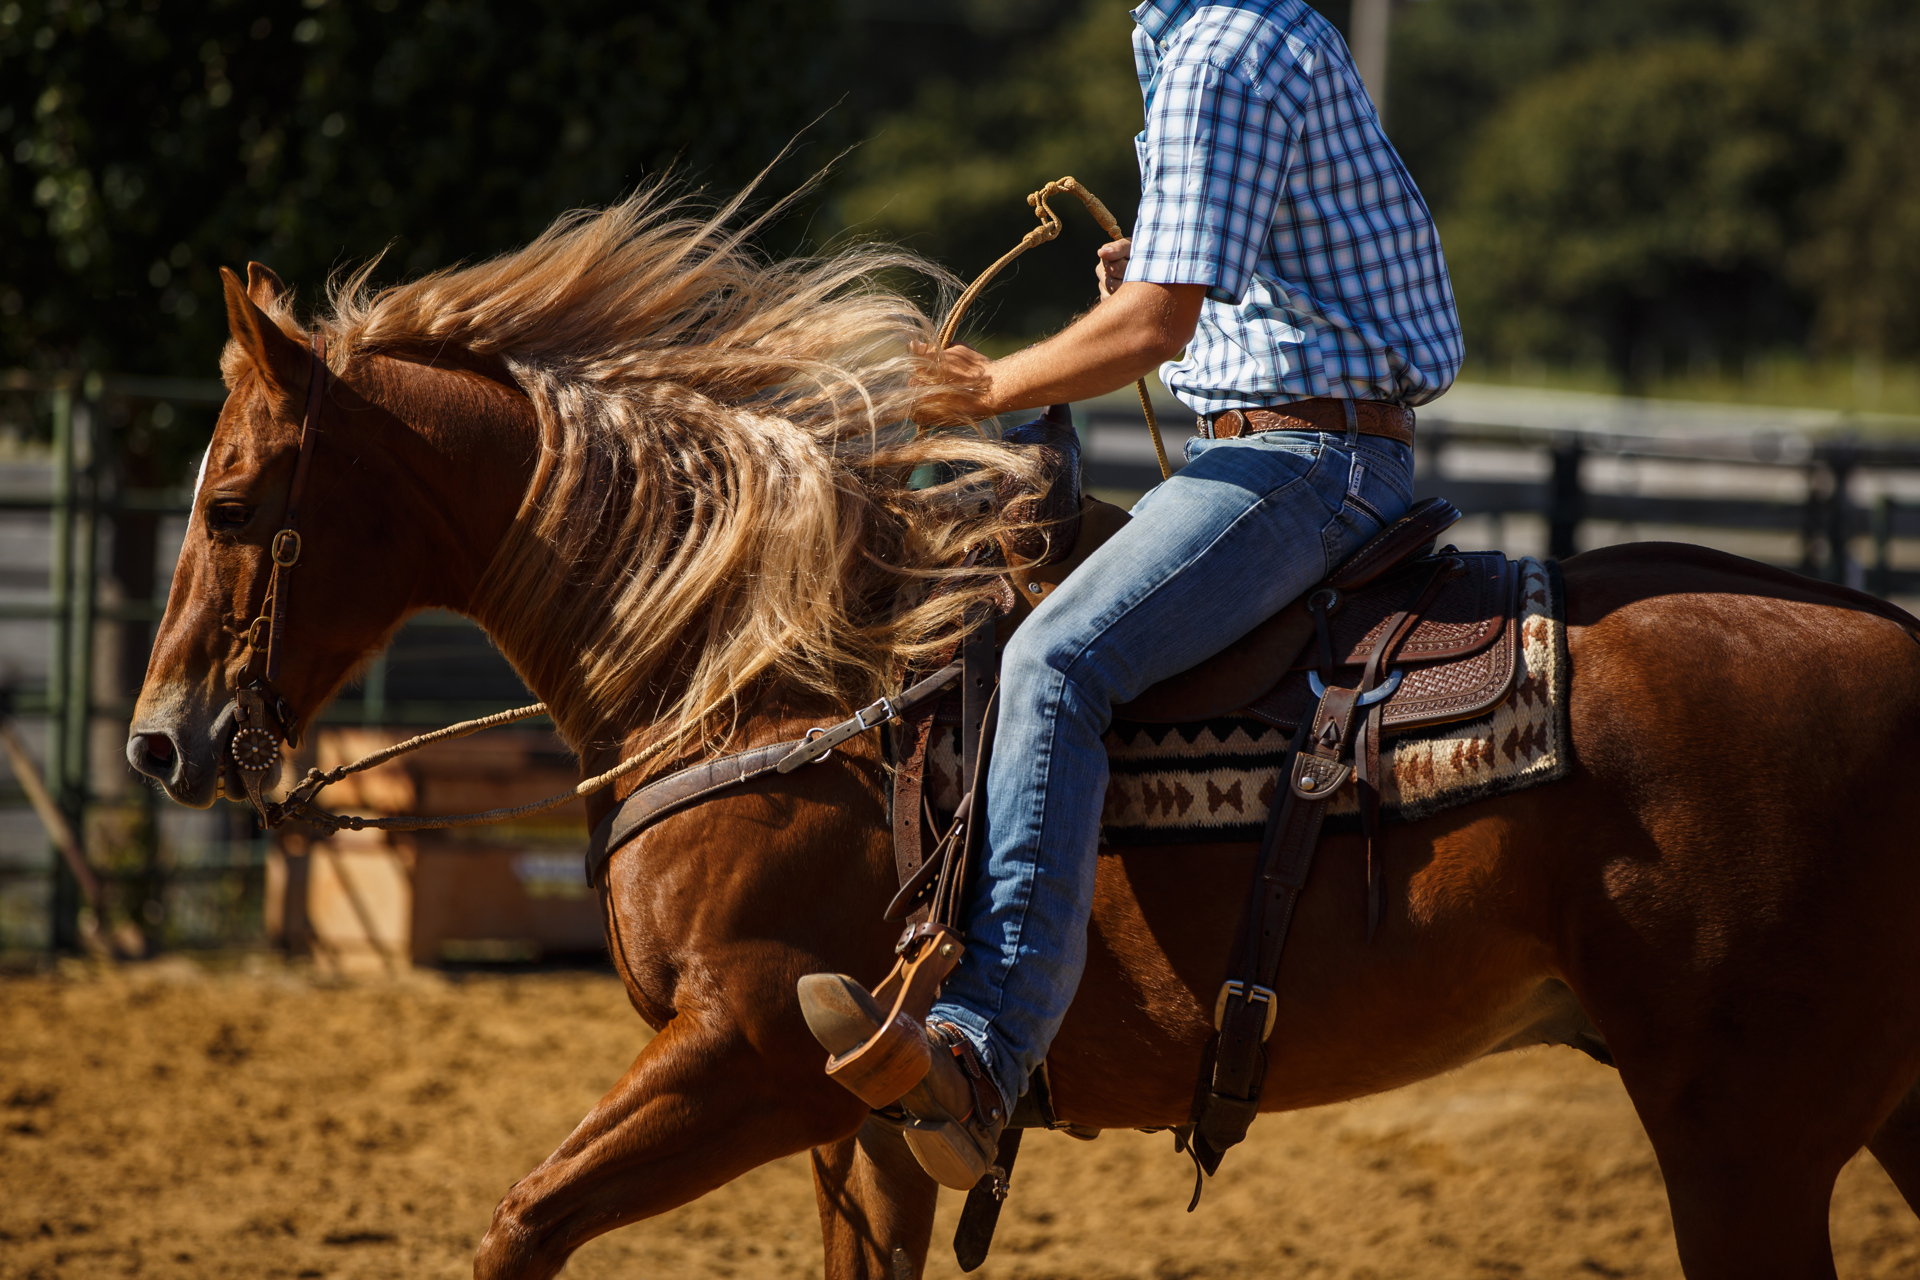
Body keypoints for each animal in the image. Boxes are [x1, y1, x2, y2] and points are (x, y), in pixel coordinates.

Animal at [127, 192, 1920, 1280]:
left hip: (1742, 1133)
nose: (158, 746)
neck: (773, 667)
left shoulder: (747, 1052)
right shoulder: (860, 1134)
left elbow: (518, 1225)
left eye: (232, 501)